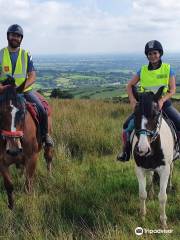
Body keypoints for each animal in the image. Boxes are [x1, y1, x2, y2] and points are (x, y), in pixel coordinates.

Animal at [0, 81, 52, 209]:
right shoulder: (1, 162)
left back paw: (49, 176)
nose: (13, 150)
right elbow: (9, 185)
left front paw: (29, 203)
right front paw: (11, 207)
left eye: (23, 112)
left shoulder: (32, 158)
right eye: (0, 114)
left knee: (48, 157)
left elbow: (28, 184)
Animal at [131, 86, 175, 229]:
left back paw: (170, 186)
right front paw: (142, 216)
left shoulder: (164, 170)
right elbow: (142, 194)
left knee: (172, 170)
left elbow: (162, 197)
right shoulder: (139, 168)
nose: (142, 149)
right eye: (135, 114)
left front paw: (163, 222)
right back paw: (151, 193)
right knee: (150, 177)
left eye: (155, 115)